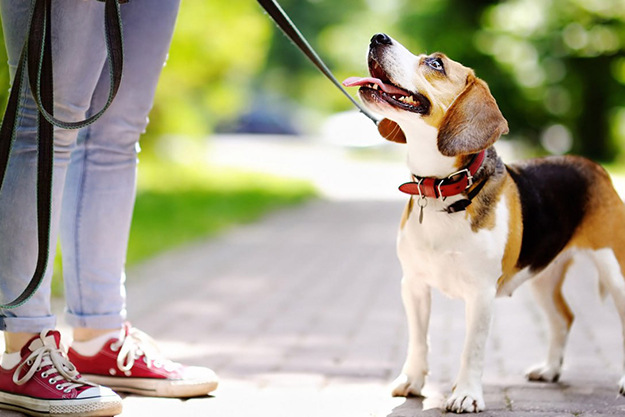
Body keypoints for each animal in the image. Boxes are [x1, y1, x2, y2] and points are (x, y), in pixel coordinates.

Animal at [342, 34, 624, 412]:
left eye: (435, 63)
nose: (378, 37)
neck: (442, 190)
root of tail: (593, 166)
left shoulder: (481, 294)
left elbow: (471, 349)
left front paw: (465, 394)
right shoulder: (413, 285)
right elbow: (418, 340)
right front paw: (412, 380)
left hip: (614, 269)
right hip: (543, 275)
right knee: (563, 319)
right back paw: (550, 369)